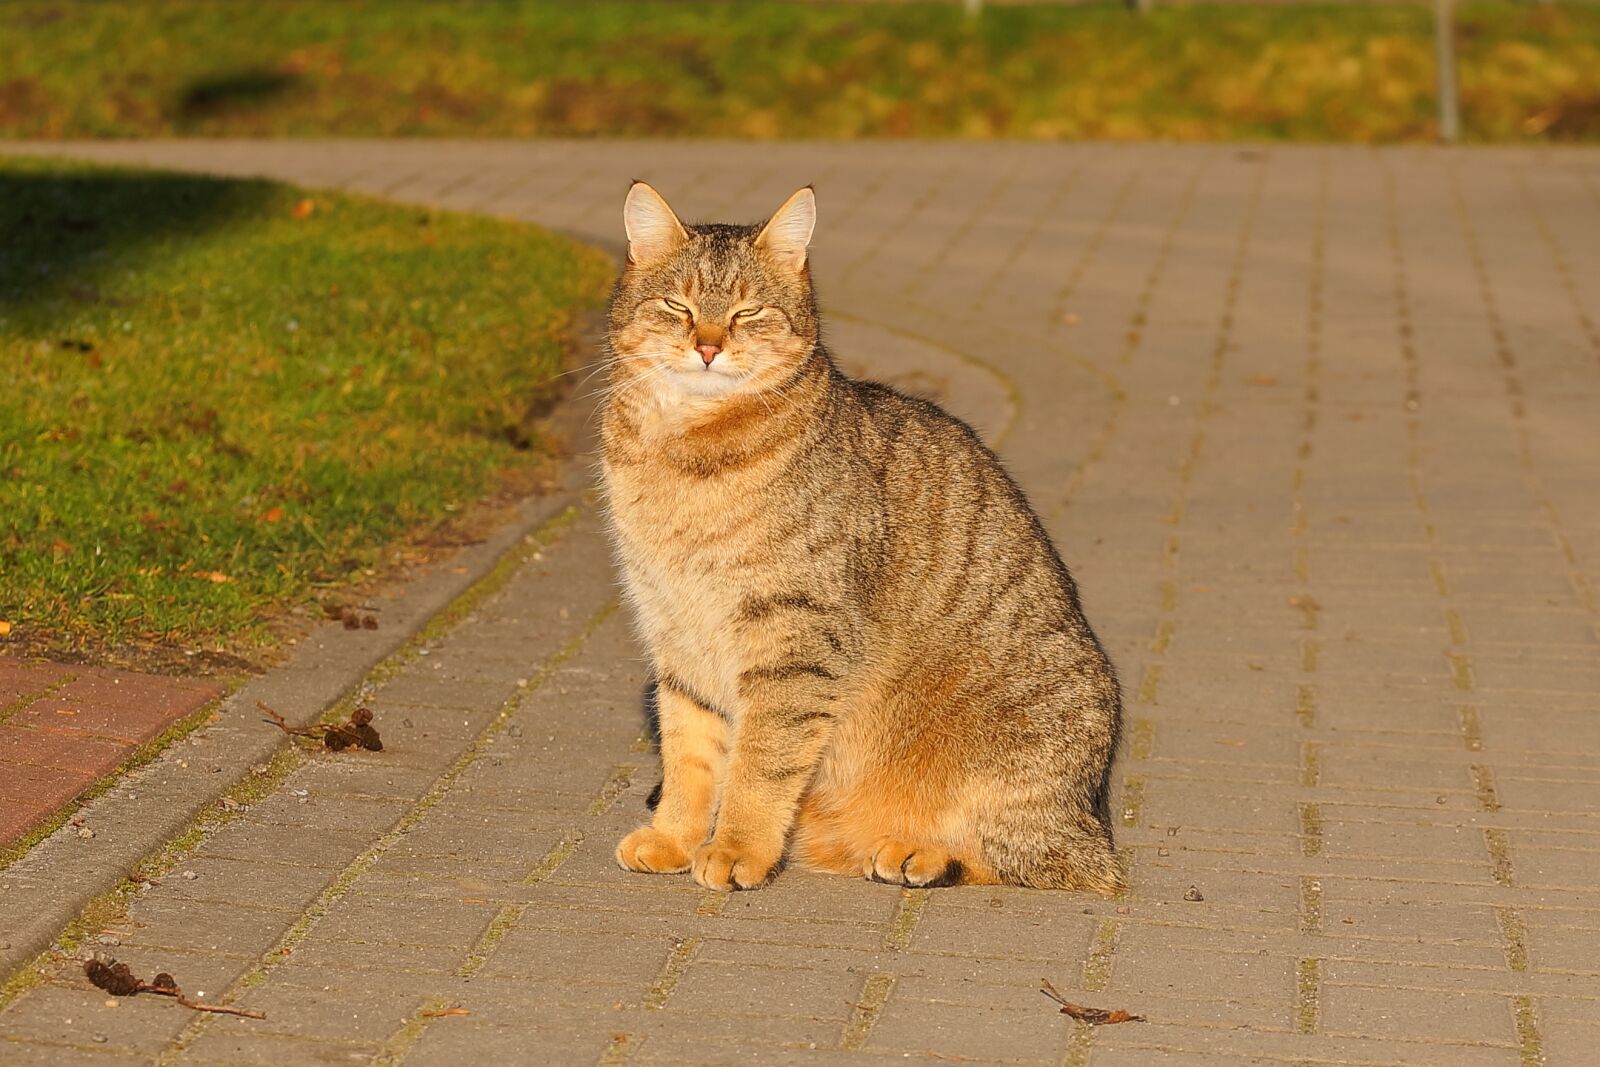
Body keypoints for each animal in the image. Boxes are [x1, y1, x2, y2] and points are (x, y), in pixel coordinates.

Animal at [595, 183, 1120, 895]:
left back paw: (921, 854)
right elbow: (690, 755)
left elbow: (759, 764)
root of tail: (1097, 818)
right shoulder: (674, 634)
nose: (707, 347)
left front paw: (736, 847)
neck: (681, 451)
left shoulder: (794, 641)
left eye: (747, 311)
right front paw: (675, 835)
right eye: (679, 306)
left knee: (1051, 863)